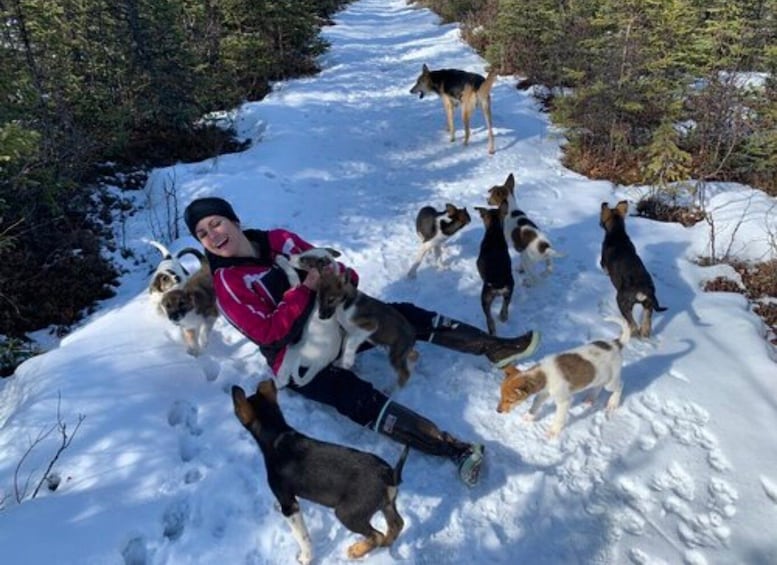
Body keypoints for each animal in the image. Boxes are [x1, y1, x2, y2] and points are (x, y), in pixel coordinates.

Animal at [498, 318, 632, 436]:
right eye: (501, 396)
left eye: (509, 400)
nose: (498, 411)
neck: (544, 374)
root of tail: (616, 344)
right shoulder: (544, 393)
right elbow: (535, 403)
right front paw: (529, 416)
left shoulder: (564, 401)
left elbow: (559, 418)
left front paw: (553, 432)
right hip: (599, 376)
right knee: (597, 387)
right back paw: (590, 399)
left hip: (610, 382)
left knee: (620, 385)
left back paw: (613, 403)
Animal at [600, 200, 668, 338]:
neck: (617, 232)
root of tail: (641, 291)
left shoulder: (603, 263)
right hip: (648, 305)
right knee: (646, 325)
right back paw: (644, 333)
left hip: (622, 301)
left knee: (633, 324)